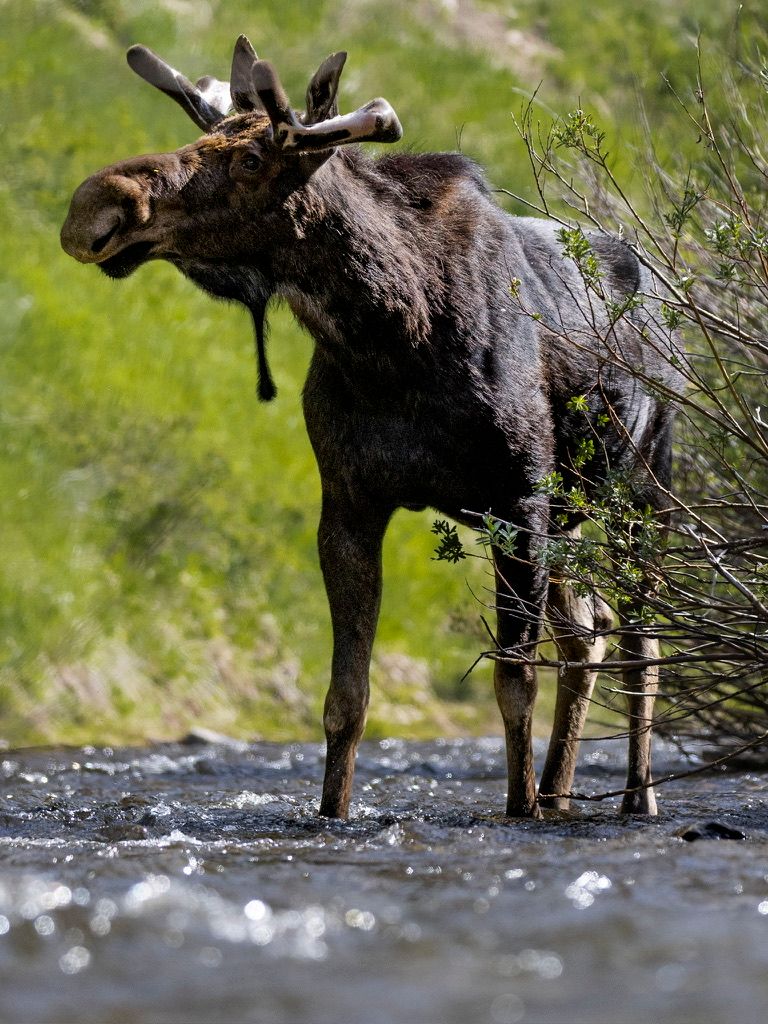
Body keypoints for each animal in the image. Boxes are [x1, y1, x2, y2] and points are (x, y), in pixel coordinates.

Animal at [60, 35, 680, 820]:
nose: (96, 203)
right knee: (588, 632)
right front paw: (334, 812)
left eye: (252, 159)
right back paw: (561, 792)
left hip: (645, 493)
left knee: (641, 644)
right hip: (570, 516)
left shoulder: (518, 501)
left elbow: (513, 683)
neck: (389, 334)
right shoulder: (351, 505)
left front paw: (519, 808)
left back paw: (635, 797)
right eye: (204, 138)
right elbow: (344, 700)